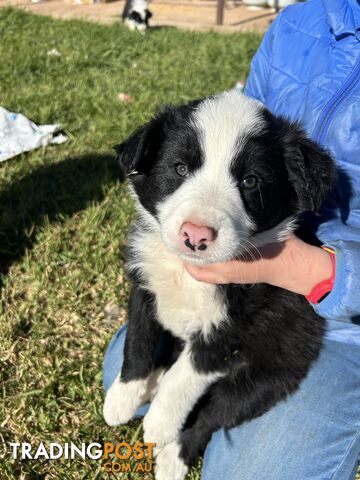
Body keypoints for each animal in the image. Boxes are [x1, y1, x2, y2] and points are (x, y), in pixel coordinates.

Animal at [104, 91, 338, 480]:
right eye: (180, 169)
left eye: (250, 181)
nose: (196, 235)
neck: (187, 273)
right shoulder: (145, 285)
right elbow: (137, 340)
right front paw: (123, 397)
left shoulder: (233, 327)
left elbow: (187, 374)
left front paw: (160, 422)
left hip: (267, 376)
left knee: (215, 413)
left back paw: (173, 458)